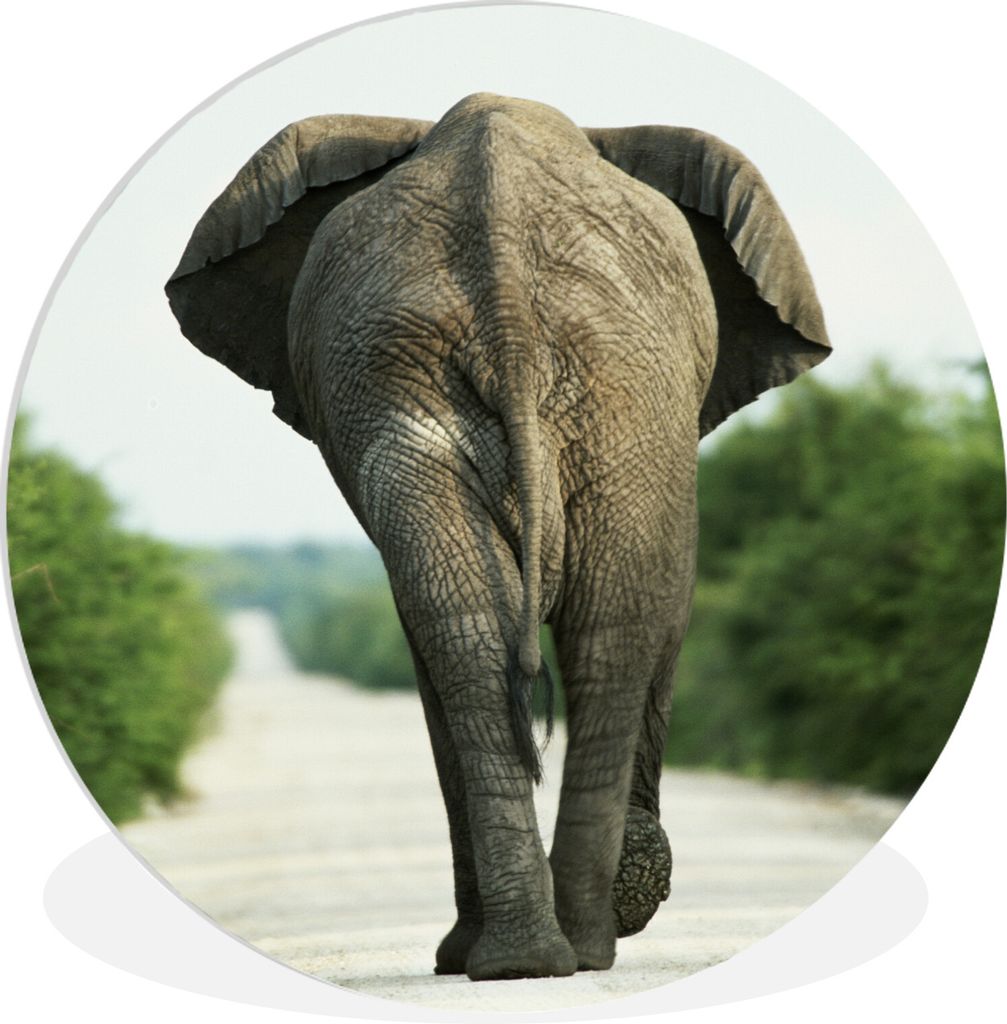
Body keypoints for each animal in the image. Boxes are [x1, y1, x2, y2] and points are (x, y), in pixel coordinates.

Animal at [166, 92, 830, 981]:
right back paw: (556, 951)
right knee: (576, 629)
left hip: (526, 381)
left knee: (505, 631)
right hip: (536, 381)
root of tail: (506, 294)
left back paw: (531, 955)